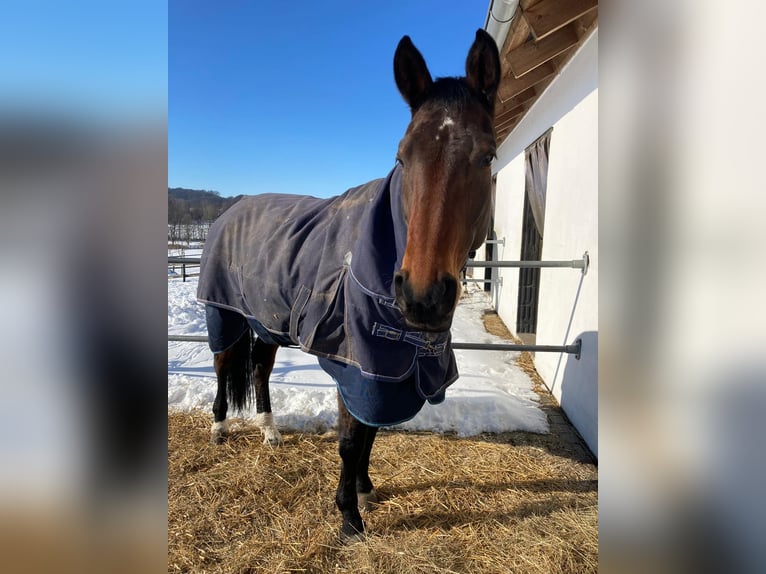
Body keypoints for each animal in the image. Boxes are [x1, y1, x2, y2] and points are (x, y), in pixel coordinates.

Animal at [196, 29, 500, 541]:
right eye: (402, 156)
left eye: (488, 156)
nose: (422, 297)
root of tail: (230, 209)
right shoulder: (356, 364)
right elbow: (350, 440)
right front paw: (348, 517)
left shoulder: (383, 370)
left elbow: (370, 431)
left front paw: (364, 488)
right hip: (224, 313)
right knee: (223, 365)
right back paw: (219, 428)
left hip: (266, 321)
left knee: (259, 370)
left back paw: (270, 431)